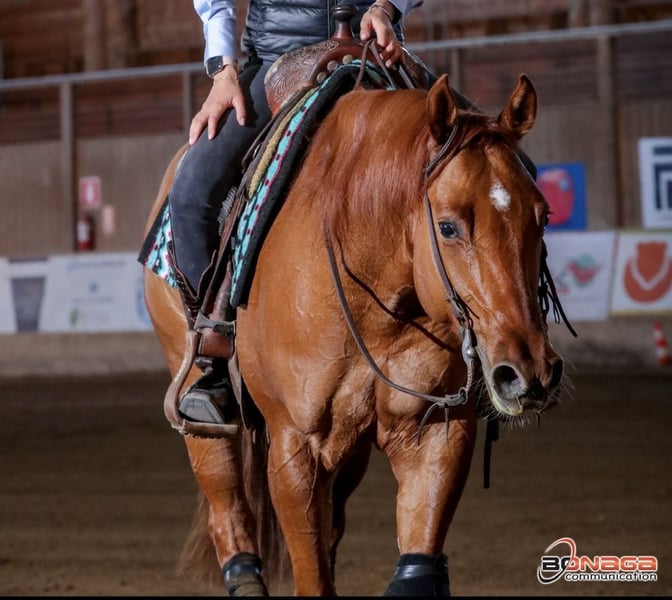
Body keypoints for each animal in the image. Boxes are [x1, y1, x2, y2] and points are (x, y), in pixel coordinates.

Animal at [142, 67, 568, 596]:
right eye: (448, 227)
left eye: (543, 216)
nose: (529, 372)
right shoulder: (294, 450)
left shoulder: (434, 435)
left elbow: (415, 558)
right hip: (202, 420)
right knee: (227, 506)